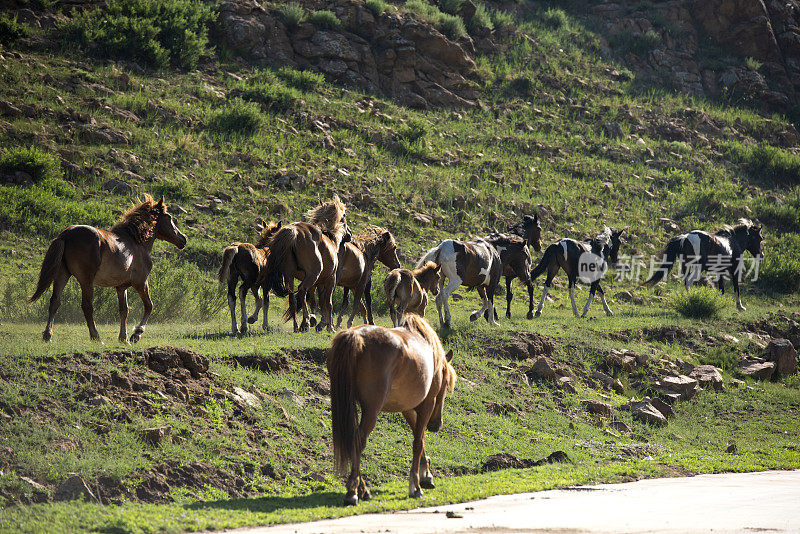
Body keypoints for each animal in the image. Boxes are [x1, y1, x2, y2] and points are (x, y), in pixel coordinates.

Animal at [28, 196, 188, 344]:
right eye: (169, 217)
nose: (183, 239)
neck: (136, 242)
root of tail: (65, 235)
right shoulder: (141, 282)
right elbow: (149, 306)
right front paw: (136, 334)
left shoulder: (121, 287)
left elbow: (124, 310)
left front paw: (124, 338)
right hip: (86, 280)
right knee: (87, 306)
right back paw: (96, 337)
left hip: (63, 274)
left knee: (55, 302)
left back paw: (48, 335)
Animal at [262, 197, 350, 330]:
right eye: (344, 216)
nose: (350, 235)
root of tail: (294, 232)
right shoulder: (330, 279)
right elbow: (328, 303)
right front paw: (329, 326)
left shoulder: (317, 283)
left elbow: (317, 301)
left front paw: (319, 322)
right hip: (313, 274)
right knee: (302, 290)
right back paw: (305, 323)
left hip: (290, 275)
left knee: (292, 298)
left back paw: (297, 326)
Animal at [328, 316, 456, 508]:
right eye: (446, 385)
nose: (436, 425)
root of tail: (355, 336)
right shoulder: (426, 406)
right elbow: (418, 442)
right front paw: (416, 486)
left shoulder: (407, 408)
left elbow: (420, 438)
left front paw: (426, 474)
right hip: (371, 410)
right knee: (358, 440)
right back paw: (353, 492)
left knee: (353, 441)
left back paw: (362, 489)